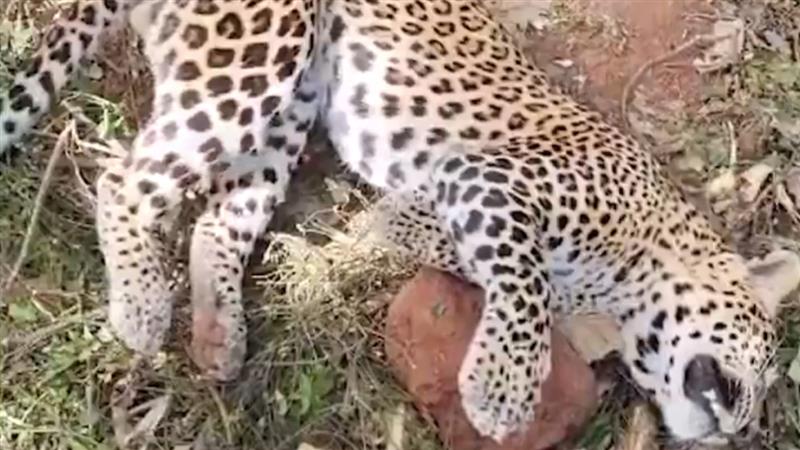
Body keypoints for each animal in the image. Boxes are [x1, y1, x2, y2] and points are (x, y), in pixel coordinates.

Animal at [0, 0, 795, 445]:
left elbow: (446, 242)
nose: (740, 429)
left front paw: (386, 230)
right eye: (760, 367)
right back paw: (139, 306)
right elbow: (527, 283)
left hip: (290, 106)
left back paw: (218, 333)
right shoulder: (494, 181)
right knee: (124, 181)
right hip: (260, 52)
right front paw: (501, 391)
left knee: (216, 222)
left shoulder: (464, 196)